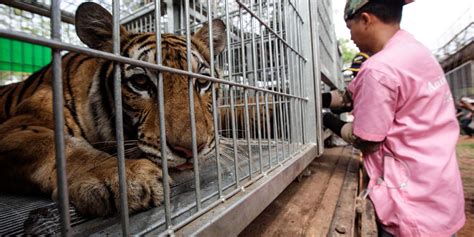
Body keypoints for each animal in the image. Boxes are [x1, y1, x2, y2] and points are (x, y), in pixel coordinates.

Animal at [0, 1, 228, 217]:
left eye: (202, 82)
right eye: (140, 81)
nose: (191, 149)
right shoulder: (19, 126)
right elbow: (65, 148)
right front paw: (125, 177)